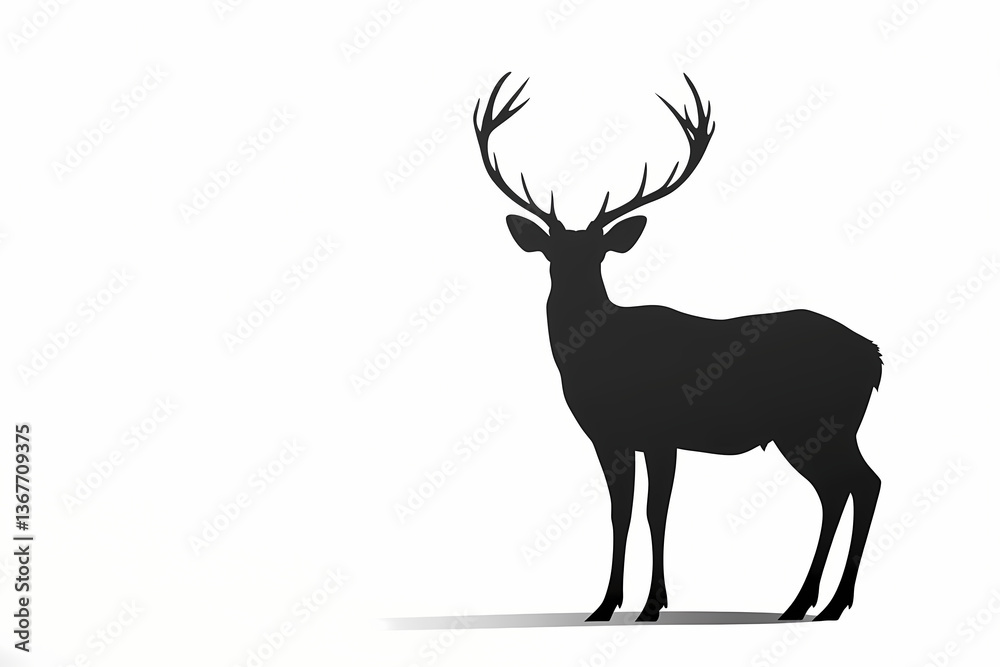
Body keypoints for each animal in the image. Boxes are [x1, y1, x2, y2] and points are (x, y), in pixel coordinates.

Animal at [473, 72, 883, 623]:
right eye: (552, 254)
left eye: (597, 254)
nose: (570, 290)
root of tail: (875, 356)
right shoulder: (609, 437)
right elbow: (620, 511)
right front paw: (607, 605)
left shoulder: (662, 431)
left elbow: (655, 511)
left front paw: (651, 605)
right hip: (816, 431)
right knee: (844, 488)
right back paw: (811, 604)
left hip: (819, 423)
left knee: (860, 483)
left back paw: (823, 603)